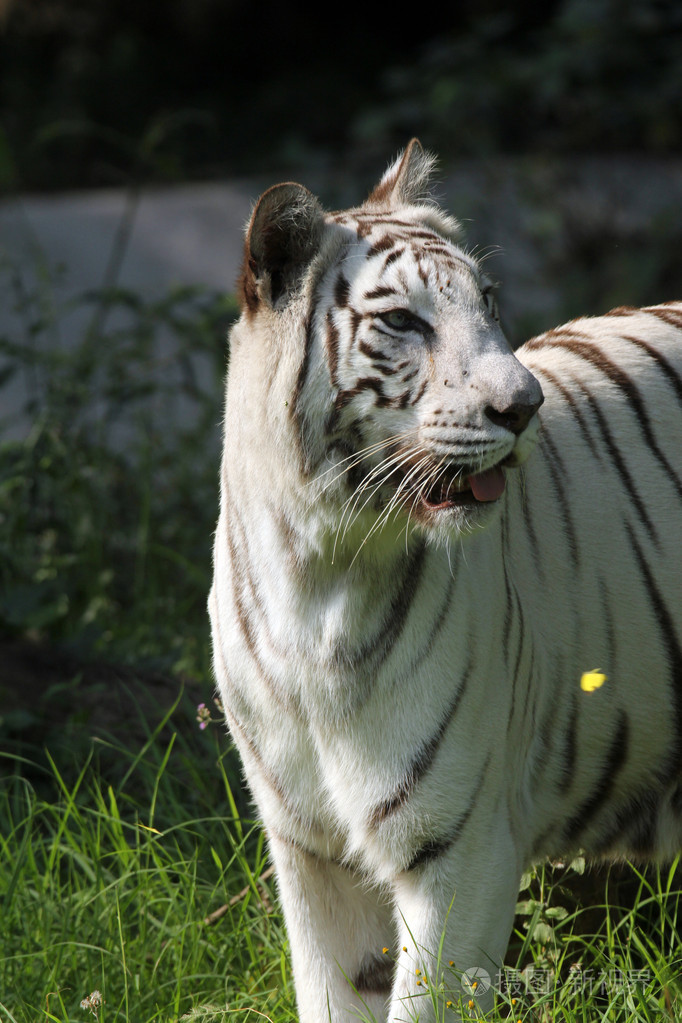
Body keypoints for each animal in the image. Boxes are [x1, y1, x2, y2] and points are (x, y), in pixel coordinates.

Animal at [208, 139, 682, 1022]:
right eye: (403, 320)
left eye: (488, 303)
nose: (524, 404)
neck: (316, 573)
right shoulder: (309, 849)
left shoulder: (461, 848)